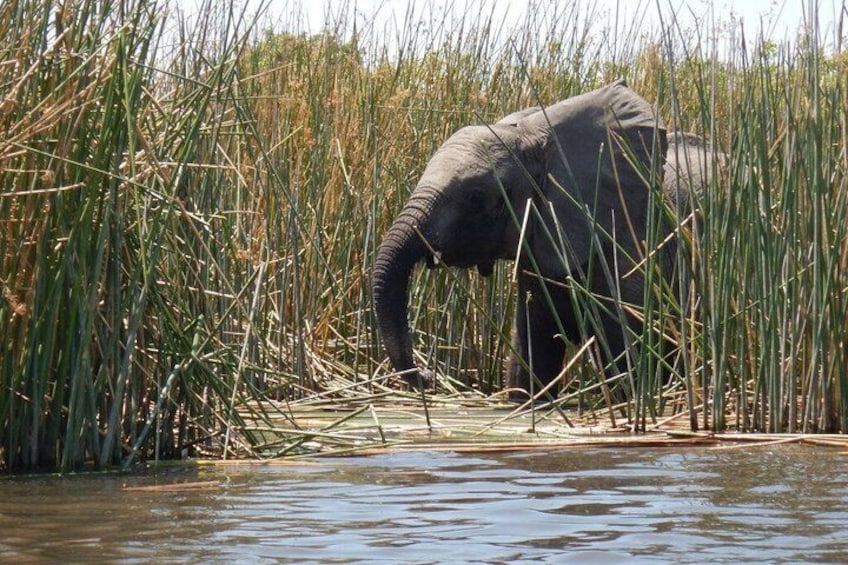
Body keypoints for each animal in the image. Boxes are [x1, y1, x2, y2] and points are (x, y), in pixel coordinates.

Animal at [372, 79, 708, 399]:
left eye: (475, 197)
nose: (427, 378)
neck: (535, 137)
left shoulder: (632, 241)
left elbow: (630, 352)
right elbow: (534, 344)